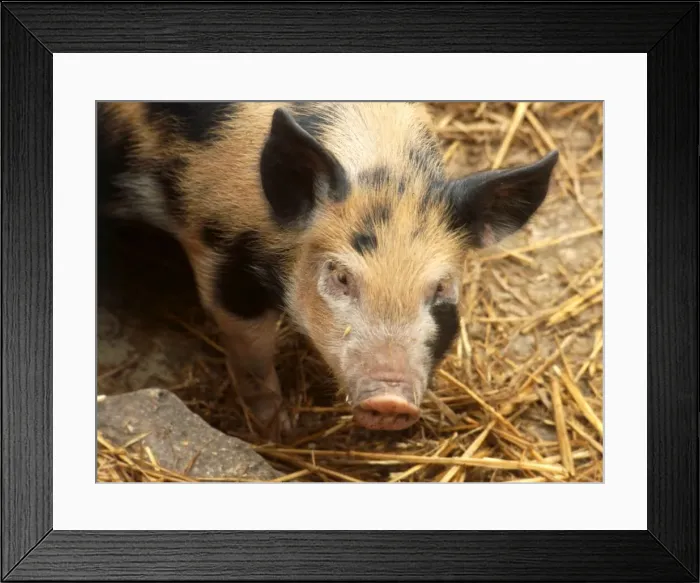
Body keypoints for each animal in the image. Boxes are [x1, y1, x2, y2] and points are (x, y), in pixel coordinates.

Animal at [97, 101, 558, 439]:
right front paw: (279, 429)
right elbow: (251, 348)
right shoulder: (218, 247)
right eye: (341, 277)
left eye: (441, 287)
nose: (389, 401)